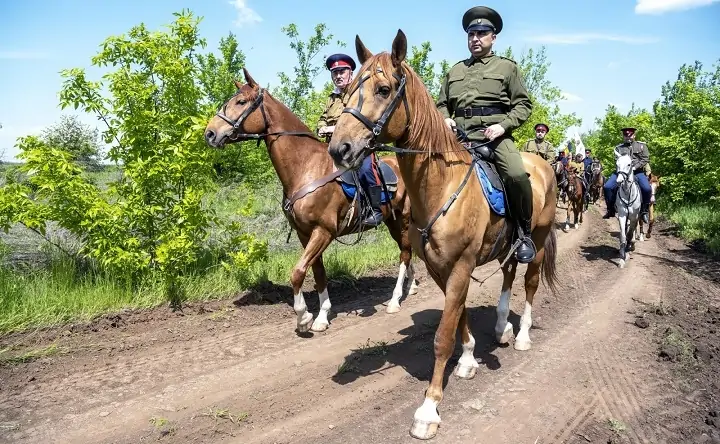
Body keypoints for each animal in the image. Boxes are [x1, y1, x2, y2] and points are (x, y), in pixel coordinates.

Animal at [202, 68, 420, 332]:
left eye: (241, 102)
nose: (210, 133)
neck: (306, 168)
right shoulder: (305, 233)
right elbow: (318, 273)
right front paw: (322, 316)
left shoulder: (323, 231)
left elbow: (297, 272)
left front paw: (304, 317)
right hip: (392, 221)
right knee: (406, 251)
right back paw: (412, 285)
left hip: (404, 219)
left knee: (405, 253)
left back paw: (395, 300)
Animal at [328, 32, 564, 440]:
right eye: (350, 90)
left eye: (383, 89)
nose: (339, 148)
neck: (441, 186)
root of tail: (541, 166)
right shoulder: (441, 269)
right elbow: (459, 316)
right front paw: (468, 358)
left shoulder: (461, 265)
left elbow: (441, 337)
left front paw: (428, 409)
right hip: (508, 245)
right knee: (508, 275)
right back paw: (501, 326)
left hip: (536, 243)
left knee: (530, 283)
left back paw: (521, 336)